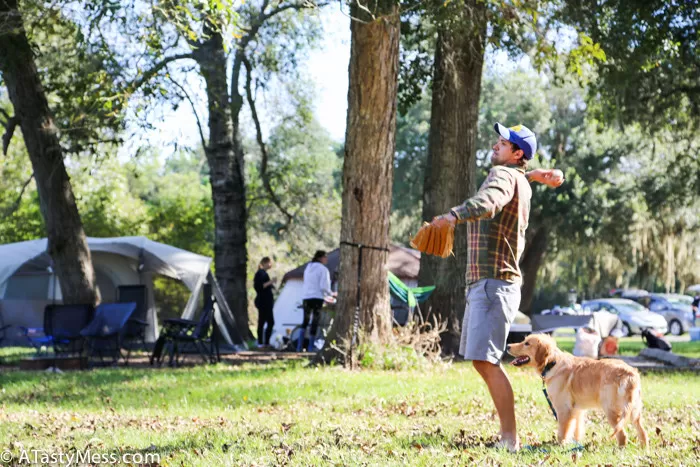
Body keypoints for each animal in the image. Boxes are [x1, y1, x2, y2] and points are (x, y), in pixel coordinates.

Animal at [506, 334, 648, 448]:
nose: (507, 346)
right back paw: (643, 449)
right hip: (634, 411)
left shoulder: (563, 409)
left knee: (622, 435)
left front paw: (560, 447)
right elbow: (576, 431)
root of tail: (630, 373)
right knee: (643, 432)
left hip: (611, 410)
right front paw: (574, 445)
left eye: (527, 343)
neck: (552, 363)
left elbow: (562, 432)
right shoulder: (577, 410)